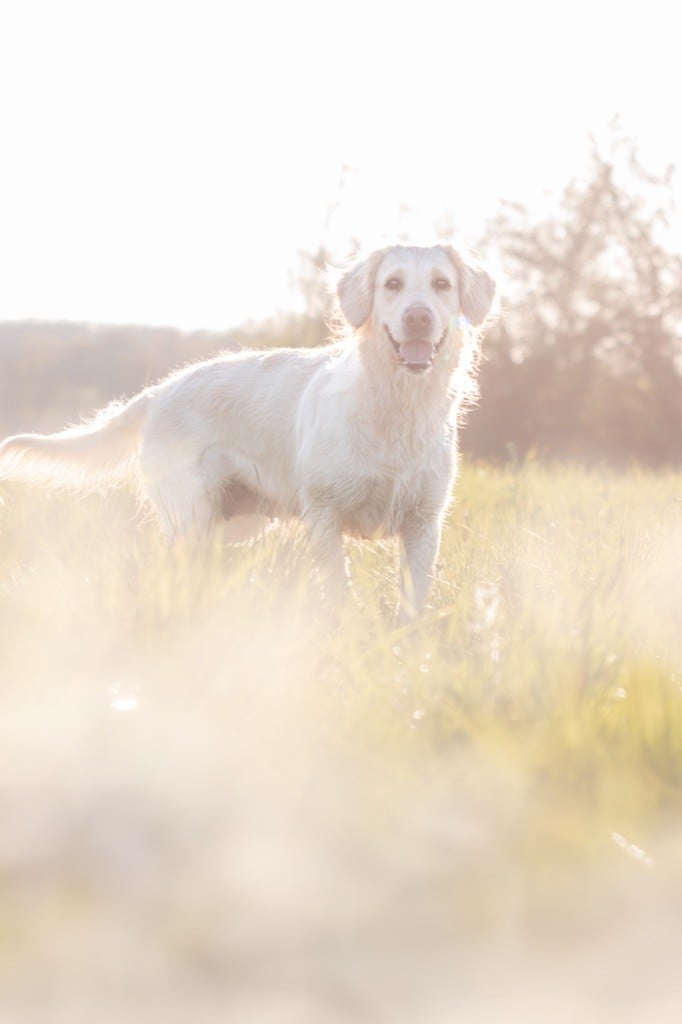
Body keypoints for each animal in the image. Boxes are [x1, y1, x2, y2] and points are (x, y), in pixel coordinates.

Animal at [0, 243, 491, 618]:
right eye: (392, 284)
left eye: (441, 284)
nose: (418, 317)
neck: (395, 405)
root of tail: (159, 392)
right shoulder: (324, 514)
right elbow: (337, 590)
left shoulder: (424, 522)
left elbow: (414, 601)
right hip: (190, 516)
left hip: (232, 523)